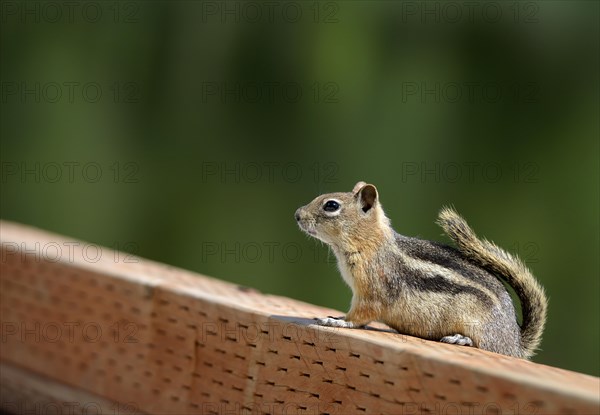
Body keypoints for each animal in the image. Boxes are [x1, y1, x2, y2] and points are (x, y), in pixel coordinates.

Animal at [296, 182, 548, 360]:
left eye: (331, 205)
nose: (297, 214)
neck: (371, 244)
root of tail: (514, 344)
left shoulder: (373, 291)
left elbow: (360, 315)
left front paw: (339, 322)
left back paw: (461, 339)